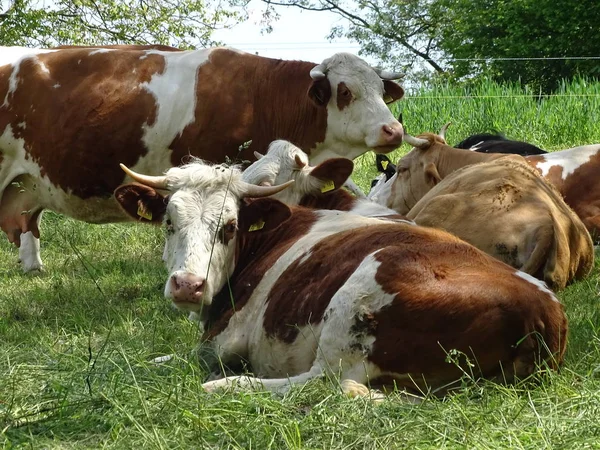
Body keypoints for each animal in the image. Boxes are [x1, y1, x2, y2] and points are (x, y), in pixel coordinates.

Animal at [112, 160, 568, 400]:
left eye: (229, 227)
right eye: (169, 223)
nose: (188, 285)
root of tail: (543, 308)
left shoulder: (219, 342)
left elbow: (157, 359)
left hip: (356, 301)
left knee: (324, 383)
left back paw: (227, 386)